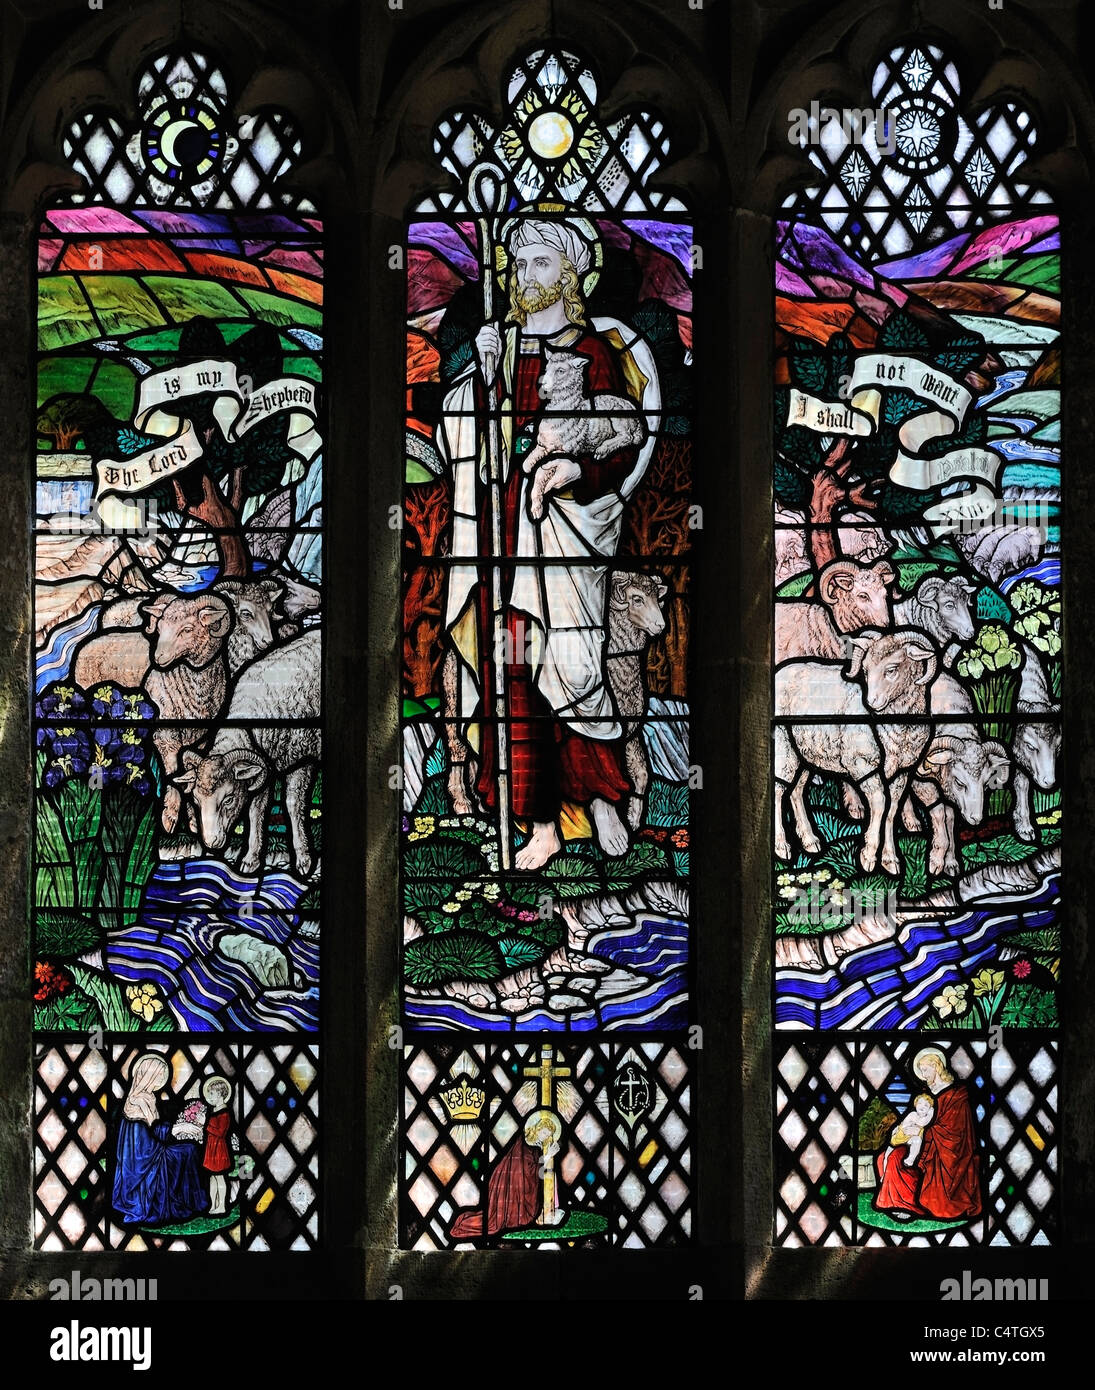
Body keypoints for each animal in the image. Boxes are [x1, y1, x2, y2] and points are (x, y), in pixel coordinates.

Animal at [173, 633, 320, 872]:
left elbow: (293, 804)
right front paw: (250, 860)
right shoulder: (264, 768)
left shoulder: (301, 757)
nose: (211, 843)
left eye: (229, 799)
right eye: (195, 799)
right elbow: (256, 811)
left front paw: (304, 860)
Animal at [519, 350, 641, 519]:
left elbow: (540, 473)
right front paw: (529, 468)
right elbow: (528, 462)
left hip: (618, 417)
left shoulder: (564, 451)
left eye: (560, 371)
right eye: (547, 368)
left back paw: (602, 450)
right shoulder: (544, 445)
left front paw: (537, 506)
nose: (543, 384)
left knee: (627, 437)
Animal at [772, 633, 939, 878]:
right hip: (784, 749)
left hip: (807, 753)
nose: (872, 703)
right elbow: (880, 803)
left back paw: (810, 841)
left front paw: (890, 860)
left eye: (892, 669)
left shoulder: (900, 773)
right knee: (778, 791)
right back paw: (782, 846)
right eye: (866, 670)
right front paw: (868, 856)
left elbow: (891, 811)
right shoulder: (863, 764)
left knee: (796, 791)